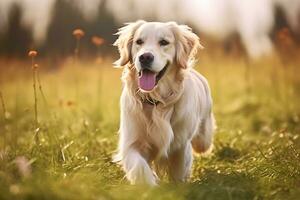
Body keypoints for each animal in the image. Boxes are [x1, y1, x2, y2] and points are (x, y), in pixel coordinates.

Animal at [113, 21, 216, 185]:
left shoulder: (180, 145)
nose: (145, 57)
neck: (156, 101)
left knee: (202, 143)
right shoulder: (131, 142)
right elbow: (139, 167)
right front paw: (150, 185)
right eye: (139, 42)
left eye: (164, 42)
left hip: (204, 136)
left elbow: (179, 171)